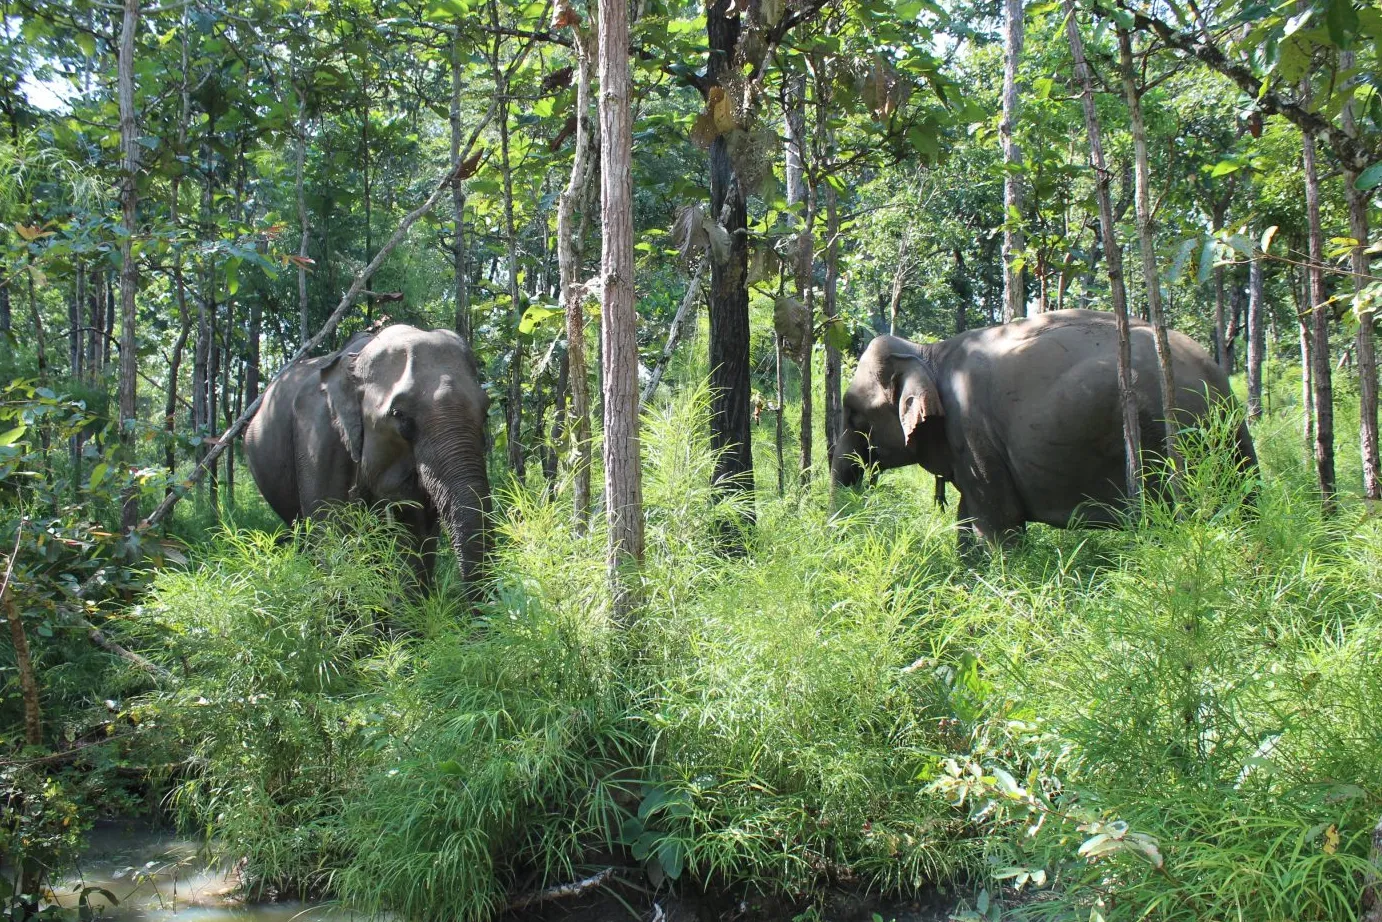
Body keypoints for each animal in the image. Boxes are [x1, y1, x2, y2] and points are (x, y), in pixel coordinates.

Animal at [823, 309, 1260, 552]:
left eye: (855, 415)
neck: (927, 352)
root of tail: (1215, 376)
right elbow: (969, 521)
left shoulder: (973, 430)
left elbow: (997, 526)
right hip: (1227, 444)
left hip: (1171, 437)